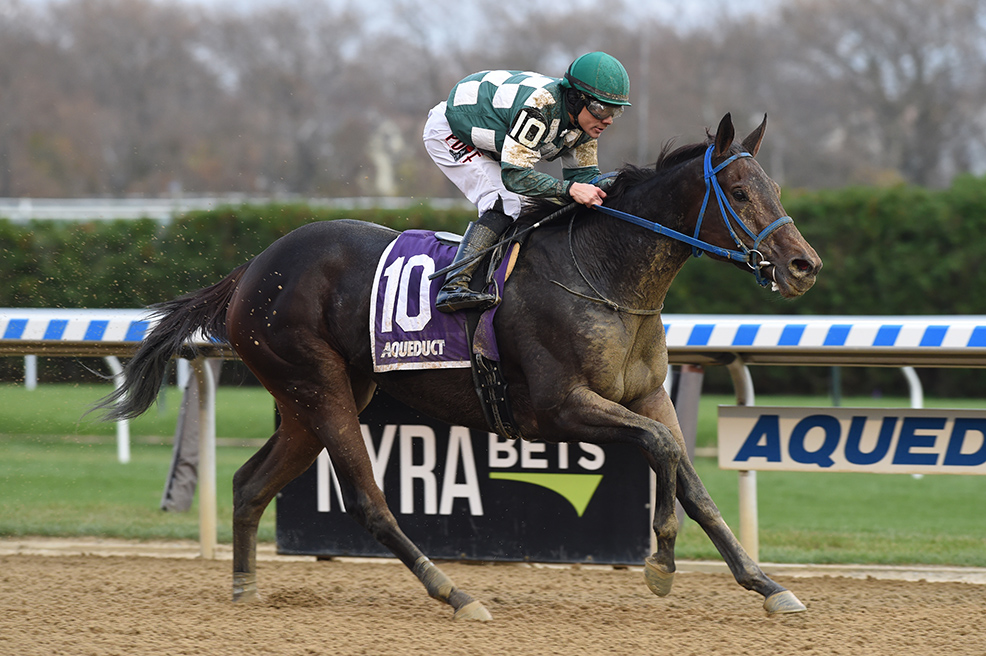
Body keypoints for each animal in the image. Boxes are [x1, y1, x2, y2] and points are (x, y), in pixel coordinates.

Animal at [100, 113, 820, 620]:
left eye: (773, 186)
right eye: (738, 192)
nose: (803, 265)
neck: (605, 272)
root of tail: (252, 269)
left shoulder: (647, 396)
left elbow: (690, 477)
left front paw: (766, 584)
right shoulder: (562, 407)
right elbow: (663, 452)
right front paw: (662, 560)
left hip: (312, 398)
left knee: (250, 485)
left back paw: (246, 588)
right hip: (319, 385)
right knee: (367, 500)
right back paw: (455, 593)